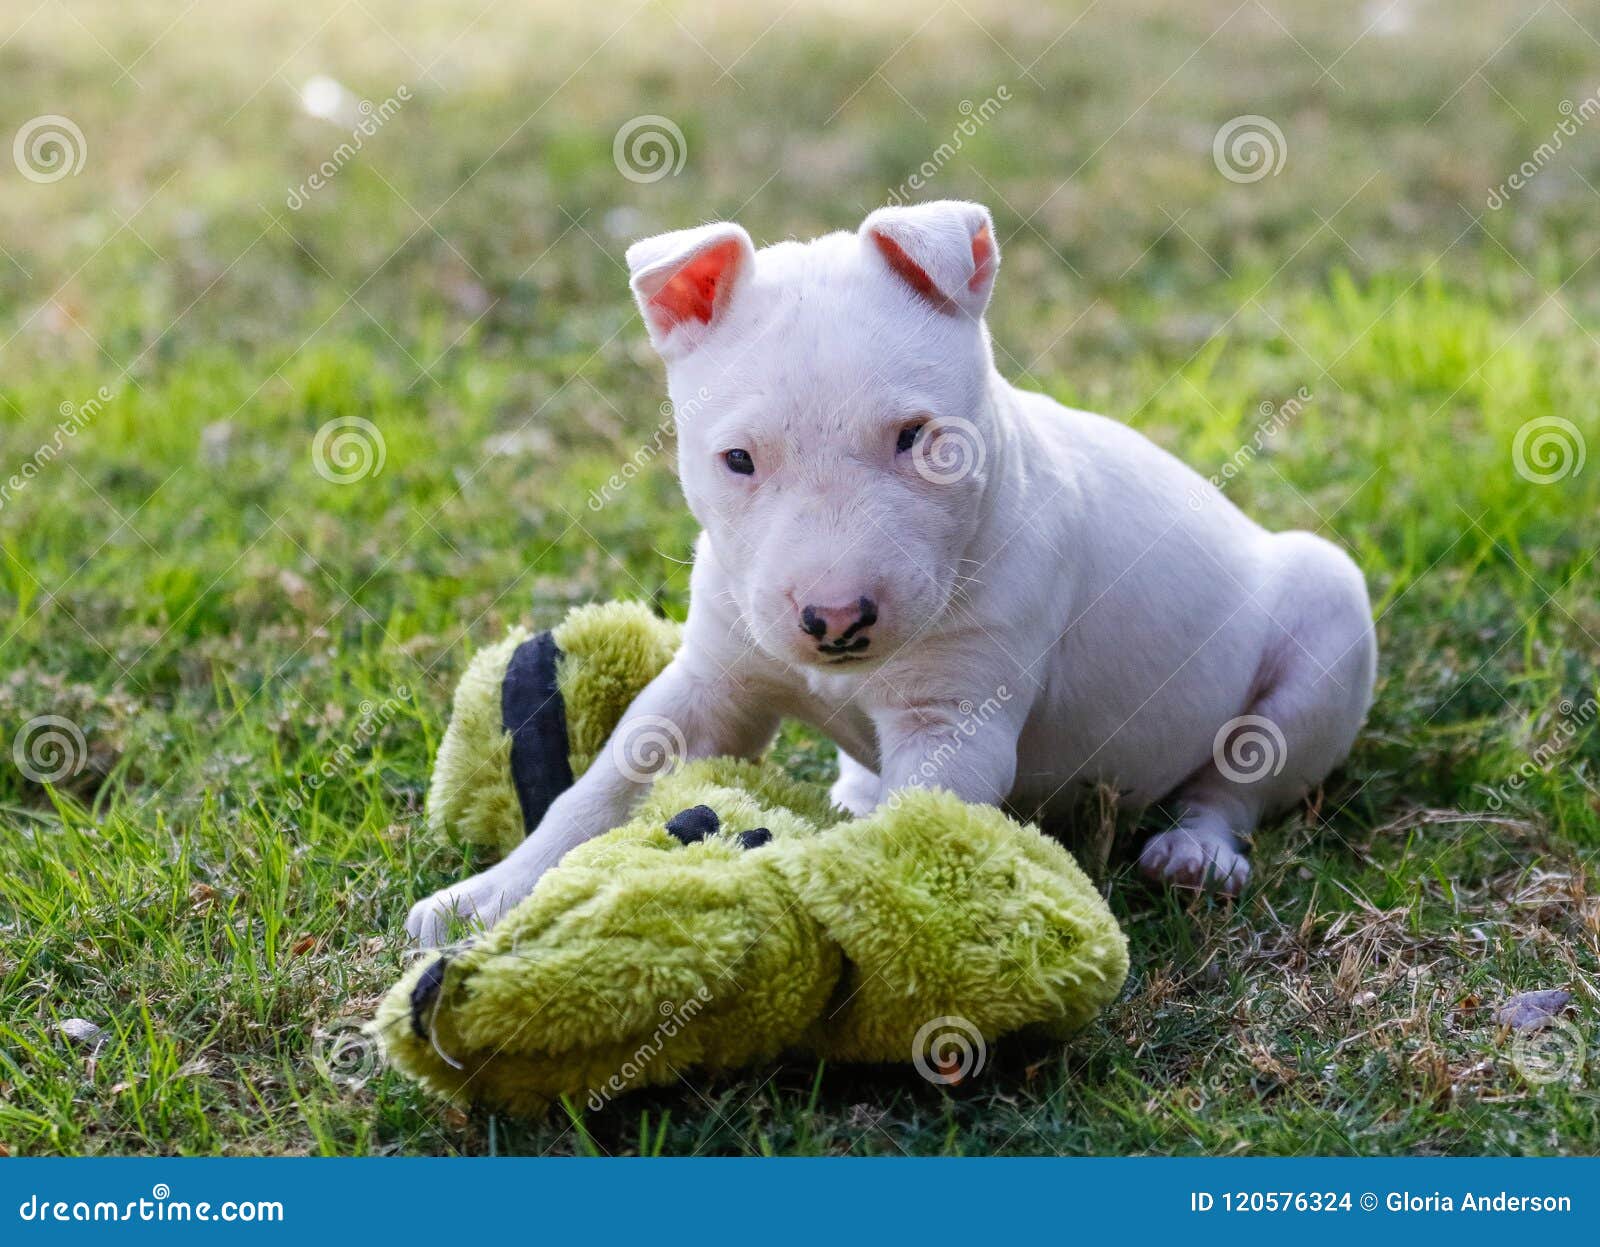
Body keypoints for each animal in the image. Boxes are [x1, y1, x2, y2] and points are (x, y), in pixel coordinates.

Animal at [409, 202, 1376, 947]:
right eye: (737, 459)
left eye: (919, 438)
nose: (836, 618)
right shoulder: (715, 679)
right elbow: (605, 784)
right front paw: (482, 898)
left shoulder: (955, 719)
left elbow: (909, 834)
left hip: (1323, 625)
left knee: (1237, 781)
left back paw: (1196, 852)